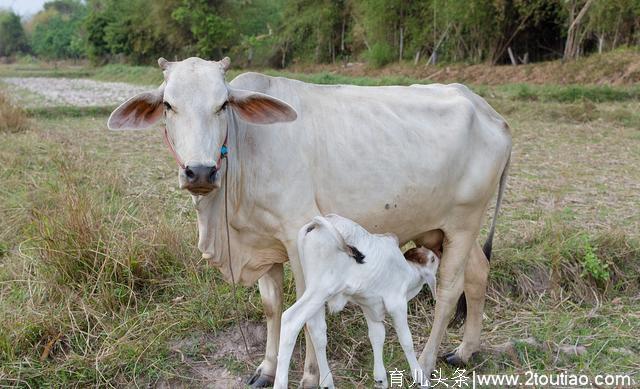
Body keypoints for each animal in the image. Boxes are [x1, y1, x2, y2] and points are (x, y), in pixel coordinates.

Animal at [272, 215, 442, 388]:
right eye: (432, 259)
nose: (438, 254)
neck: (409, 272)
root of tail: (317, 223)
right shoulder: (397, 304)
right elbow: (406, 340)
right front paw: (420, 377)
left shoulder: (370, 306)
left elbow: (377, 336)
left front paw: (380, 379)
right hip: (321, 289)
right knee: (291, 321)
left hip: (312, 288)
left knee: (317, 330)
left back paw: (327, 382)